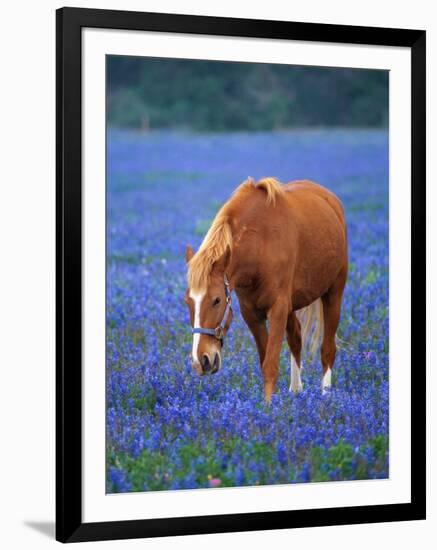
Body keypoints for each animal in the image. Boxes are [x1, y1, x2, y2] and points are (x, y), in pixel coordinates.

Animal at [184, 179, 348, 404]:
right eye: (188, 301)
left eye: (217, 300)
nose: (200, 361)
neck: (260, 245)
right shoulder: (252, 314)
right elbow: (265, 361)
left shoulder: (278, 309)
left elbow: (271, 364)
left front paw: (268, 407)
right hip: (292, 305)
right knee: (296, 339)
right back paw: (296, 391)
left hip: (333, 294)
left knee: (328, 349)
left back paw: (326, 396)